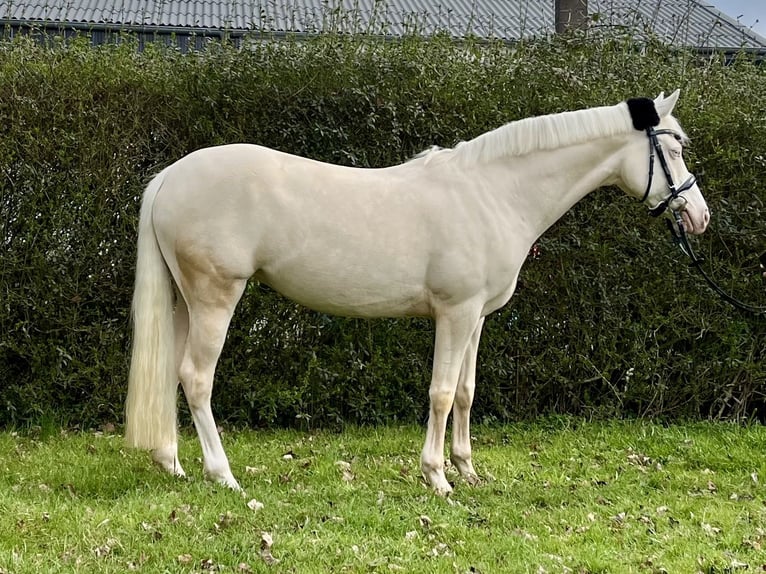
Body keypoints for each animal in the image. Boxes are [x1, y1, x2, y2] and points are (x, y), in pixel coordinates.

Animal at [125, 90, 709, 494]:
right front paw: (437, 478)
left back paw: (173, 464)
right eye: (674, 148)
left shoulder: (477, 318)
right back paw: (222, 474)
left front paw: (468, 471)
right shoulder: (455, 314)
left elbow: (467, 392)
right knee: (196, 378)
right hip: (215, 298)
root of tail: (171, 175)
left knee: (170, 373)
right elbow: (442, 393)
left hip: (185, 302)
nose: (699, 216)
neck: (493, 192)